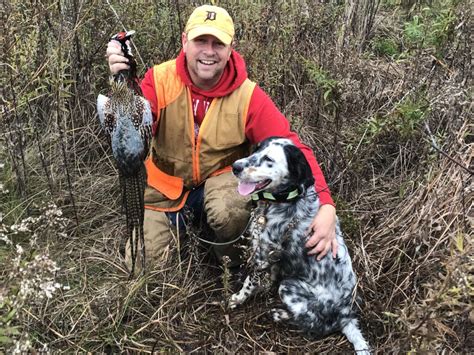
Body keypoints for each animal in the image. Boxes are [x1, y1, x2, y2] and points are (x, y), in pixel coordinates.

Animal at [230, 138, 370, 354]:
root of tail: (346, 315)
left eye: (268, 159)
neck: (284, 200)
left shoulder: (262, 255)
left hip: (289, 287)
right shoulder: (273, 256)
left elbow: (249, 282)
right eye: (257, 149)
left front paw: (238, 298)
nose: (235, 166)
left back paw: (280, 315)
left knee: (314, 323)